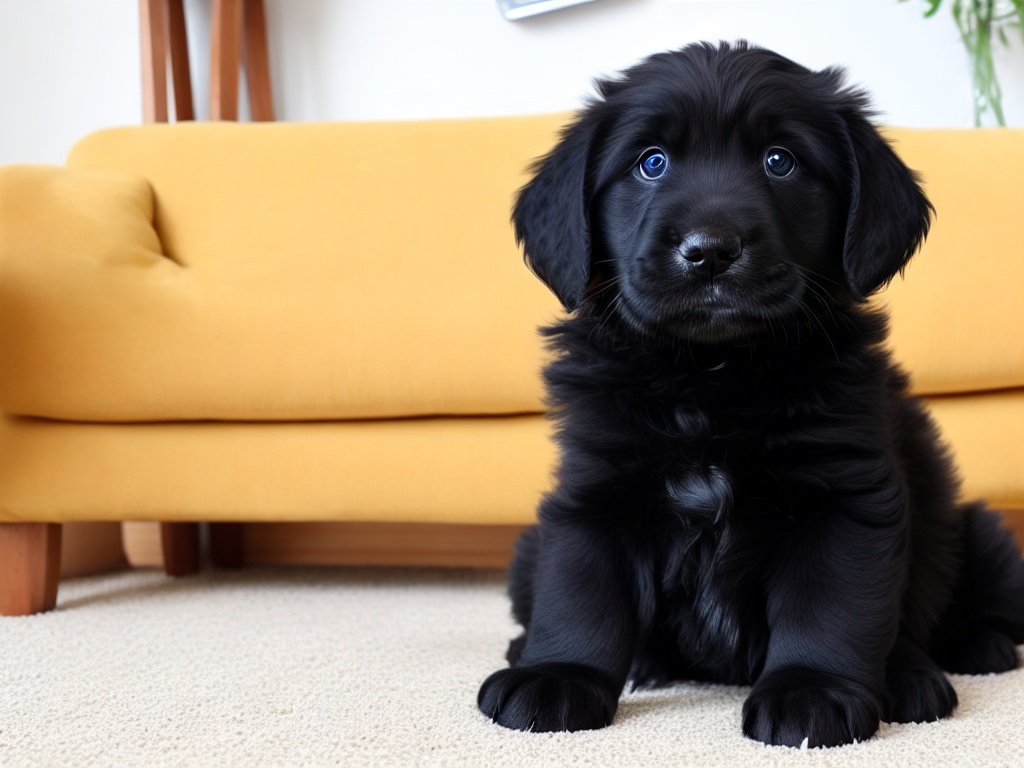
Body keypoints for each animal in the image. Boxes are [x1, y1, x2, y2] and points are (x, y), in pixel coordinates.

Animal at [477, 41, 1024, 753]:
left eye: (780, 161)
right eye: (651, 162)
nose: (709, 250)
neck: (711, 376)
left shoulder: (843, 496)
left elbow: (828, 607)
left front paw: (811, 691)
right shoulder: (595, 492)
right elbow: (580, 596)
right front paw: (556, 674)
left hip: (977, 527)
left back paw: (948, 660)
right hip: (526, 550)